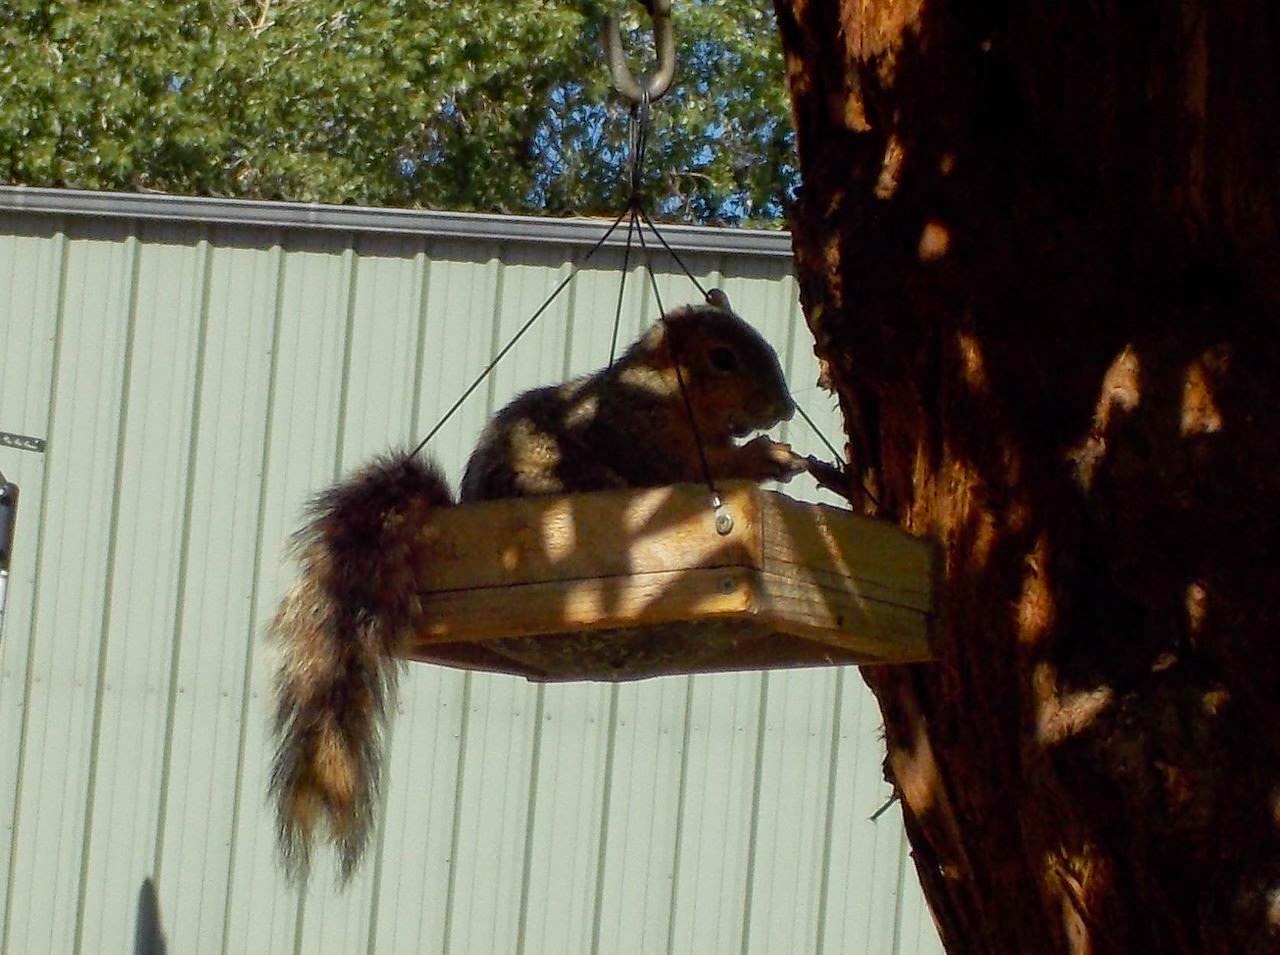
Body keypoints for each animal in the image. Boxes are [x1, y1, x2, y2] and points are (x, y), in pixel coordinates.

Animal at [268, 293, 808, 883]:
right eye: (722, 358)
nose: (785, 407)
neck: (663, 393)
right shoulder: (646, 440)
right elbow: (695, 469)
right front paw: (770, 456)